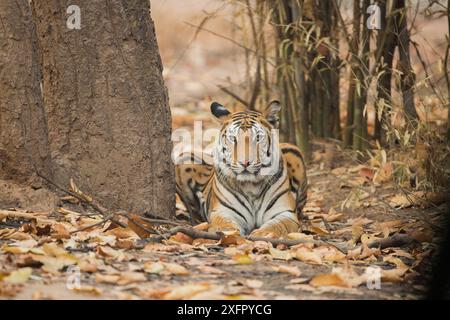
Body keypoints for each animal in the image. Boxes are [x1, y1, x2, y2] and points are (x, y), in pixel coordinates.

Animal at [174, 100, 308, 238]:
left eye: (258, 138)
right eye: (233, 138)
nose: (245, 162)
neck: (251, 187)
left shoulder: (285, 213)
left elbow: (275, 226)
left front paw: (260, 235)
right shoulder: (223, 212)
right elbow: (227, 227)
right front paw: (233, 236)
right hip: (183, 159)